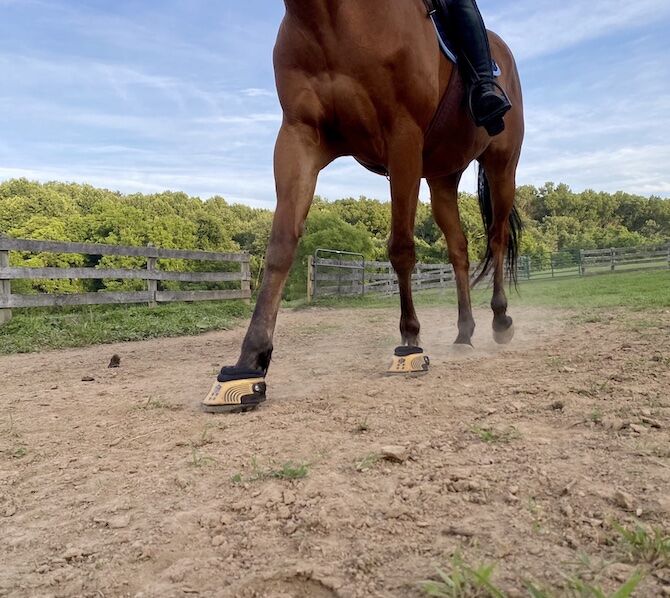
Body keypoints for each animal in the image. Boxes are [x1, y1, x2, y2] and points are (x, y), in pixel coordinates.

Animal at [203, 0, 524, 411]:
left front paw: (410, 345)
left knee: (497, 239)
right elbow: (280, 246)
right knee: (459, 251)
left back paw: (500, 320)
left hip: (502, 166)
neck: (333, 19)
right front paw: (249, 365)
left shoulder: (403, 138)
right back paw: (464, 335)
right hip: (442, 179)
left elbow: (401, 248)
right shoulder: (299, 138)